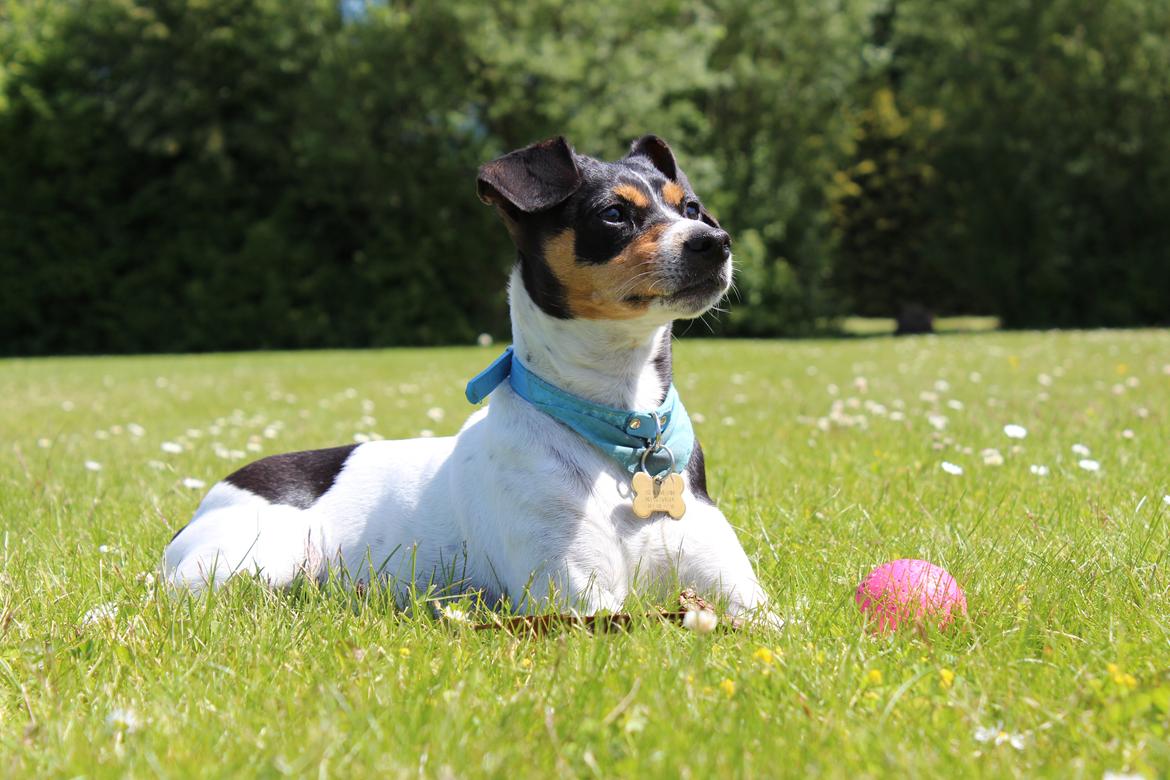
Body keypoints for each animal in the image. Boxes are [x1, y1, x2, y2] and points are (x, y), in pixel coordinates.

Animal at [160, 134, 772, 622]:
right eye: (614, 214)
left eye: (692, 207)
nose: (714, 242)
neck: (623, 431)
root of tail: (211, 498)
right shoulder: (578, 600)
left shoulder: (747, 602)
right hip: (257, 559)